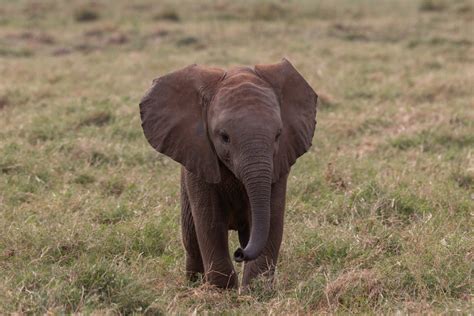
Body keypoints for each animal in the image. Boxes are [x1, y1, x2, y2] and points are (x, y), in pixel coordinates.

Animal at [141, 57, 318, 288]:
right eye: (224, 137)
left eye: (278, 135)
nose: (239, 253)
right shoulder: (199, 159)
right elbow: (210, 221)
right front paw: (222, 289)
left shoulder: (280, 161)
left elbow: (272, 217)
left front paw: (256, 290)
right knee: (191, 240)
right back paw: (194, 283)